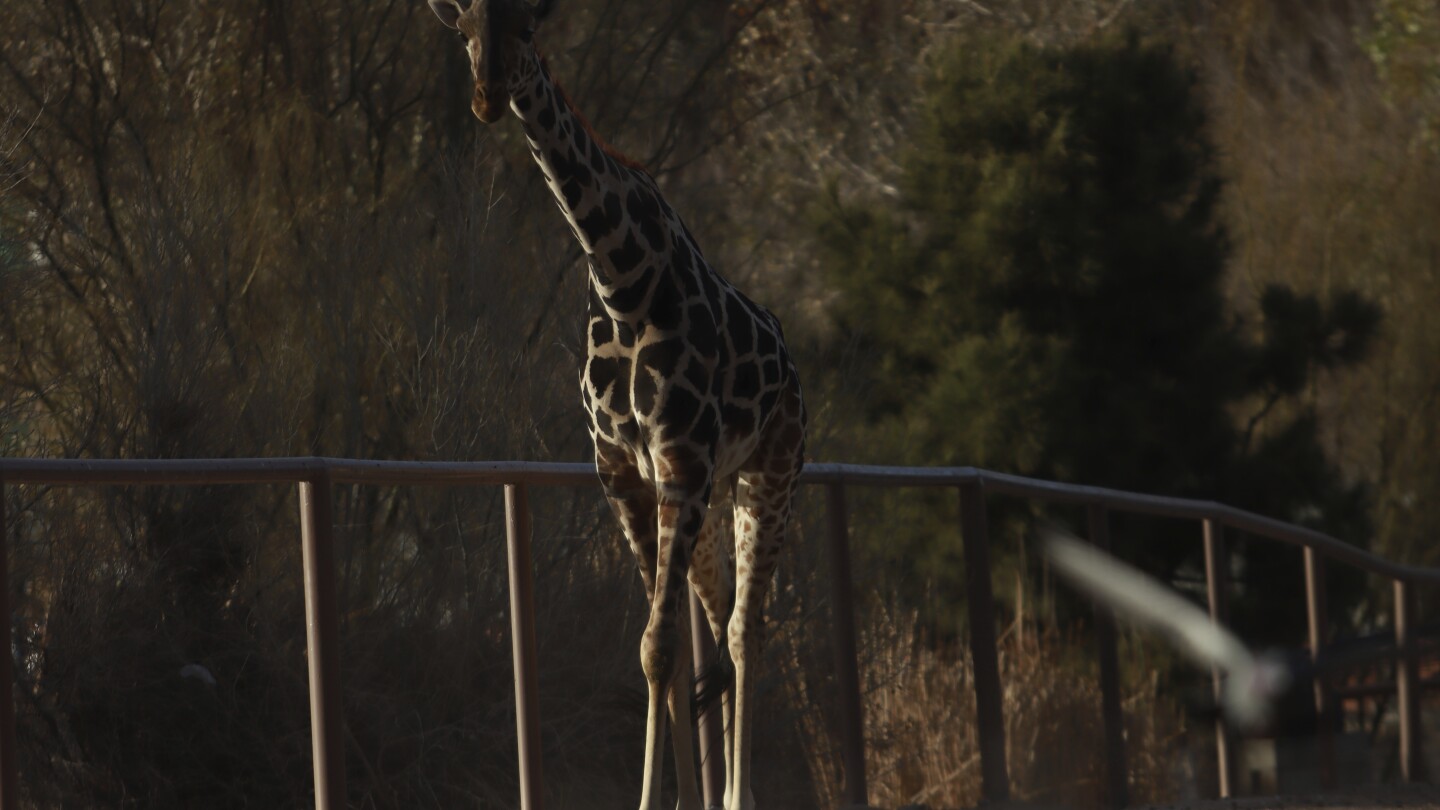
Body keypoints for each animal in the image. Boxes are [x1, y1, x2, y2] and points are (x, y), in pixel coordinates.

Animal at [426, 2, 807, 809]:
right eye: (463, 30)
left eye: (527, 30)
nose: (486, 96)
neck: (622, 281)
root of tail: (792, 364)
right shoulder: (624, 471)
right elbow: (658, 651)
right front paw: (672, 798)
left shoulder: (682, 465)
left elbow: (660, 646)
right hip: (712, 496)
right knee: (716, 617)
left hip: (771, 473)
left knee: (744, 630)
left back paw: (740, 796)